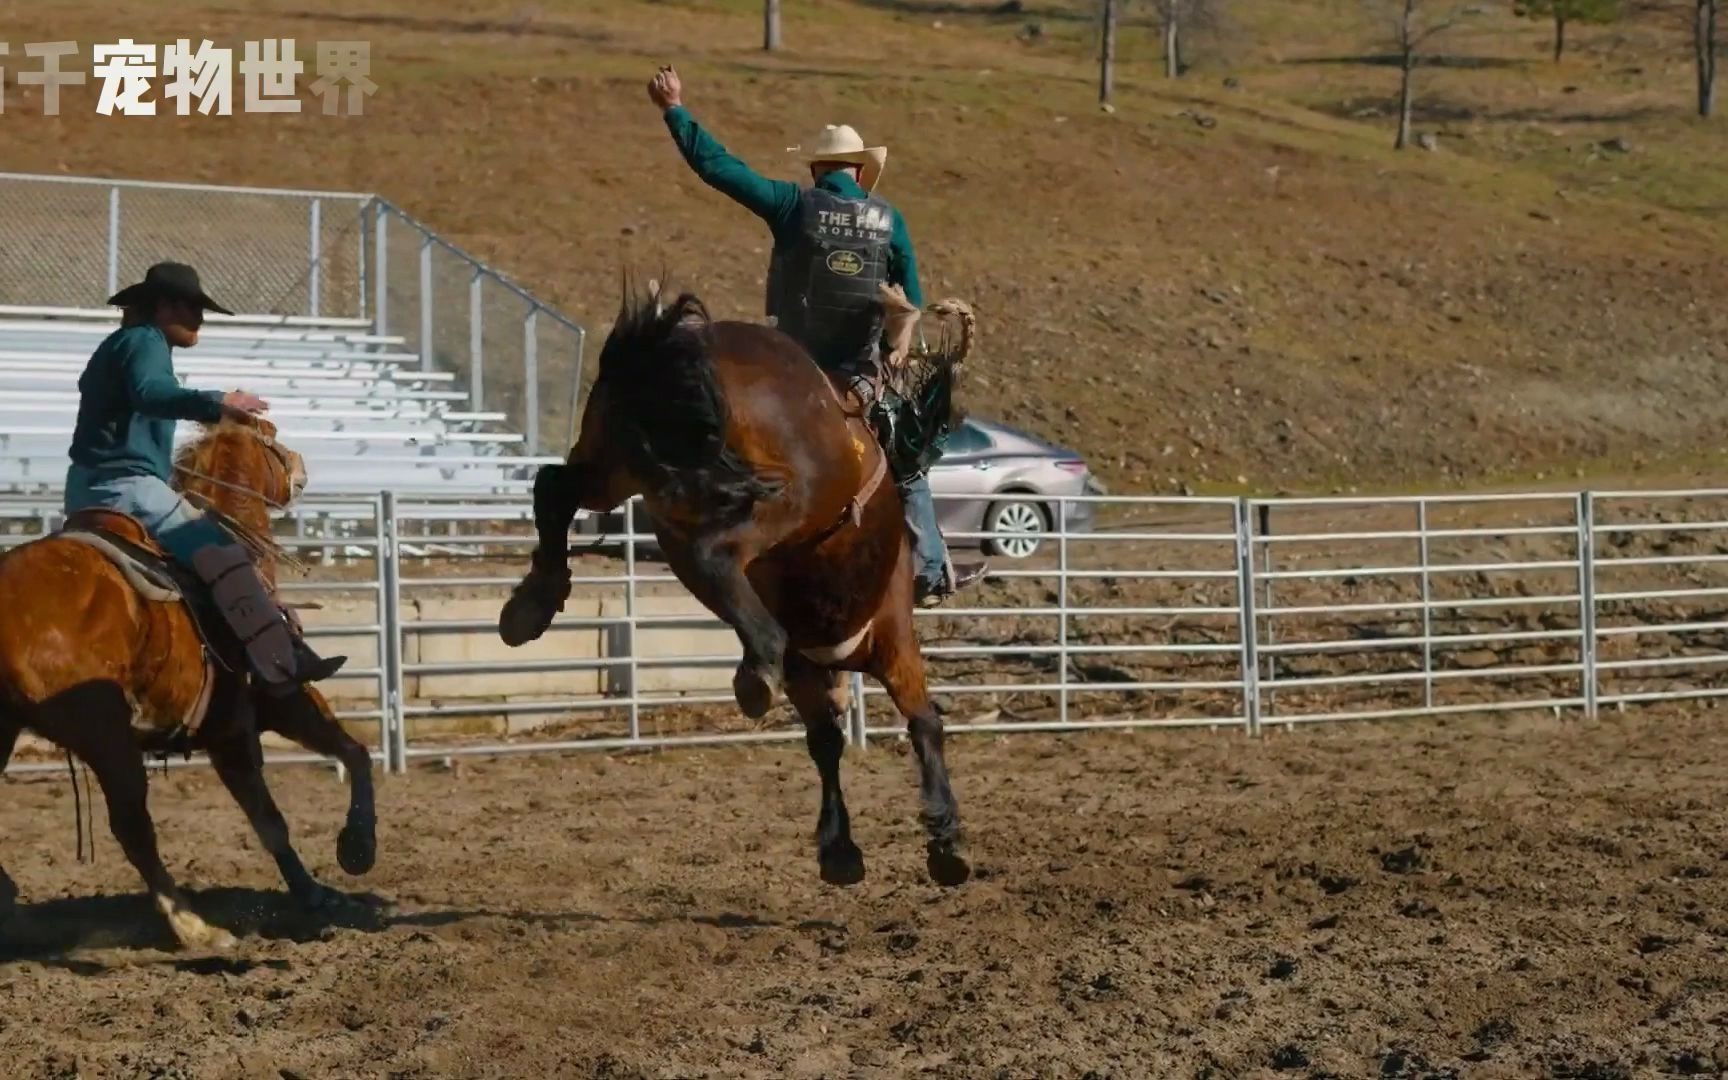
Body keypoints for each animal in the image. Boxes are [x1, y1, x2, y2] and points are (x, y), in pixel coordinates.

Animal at [0, 416, 376, 946]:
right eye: (272, 440)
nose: (301, 467)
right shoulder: (261, 713)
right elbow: (290, 804)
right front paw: (353, 851)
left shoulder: (240, 726)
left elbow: (314, 784)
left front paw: (325, 884)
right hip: (107, 737)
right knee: (133, 828)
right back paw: (195, 926)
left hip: (7, 731)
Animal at [504, 276, 981, 884]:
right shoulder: (892, 636)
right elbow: (921, 722)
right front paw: (943, 845)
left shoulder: (813, 663)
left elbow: (828, 739)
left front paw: (842, 849)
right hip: (781, 500)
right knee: (716, 552)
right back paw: (754, 665)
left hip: (617, 463)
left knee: (555, 488)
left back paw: (530, 608)